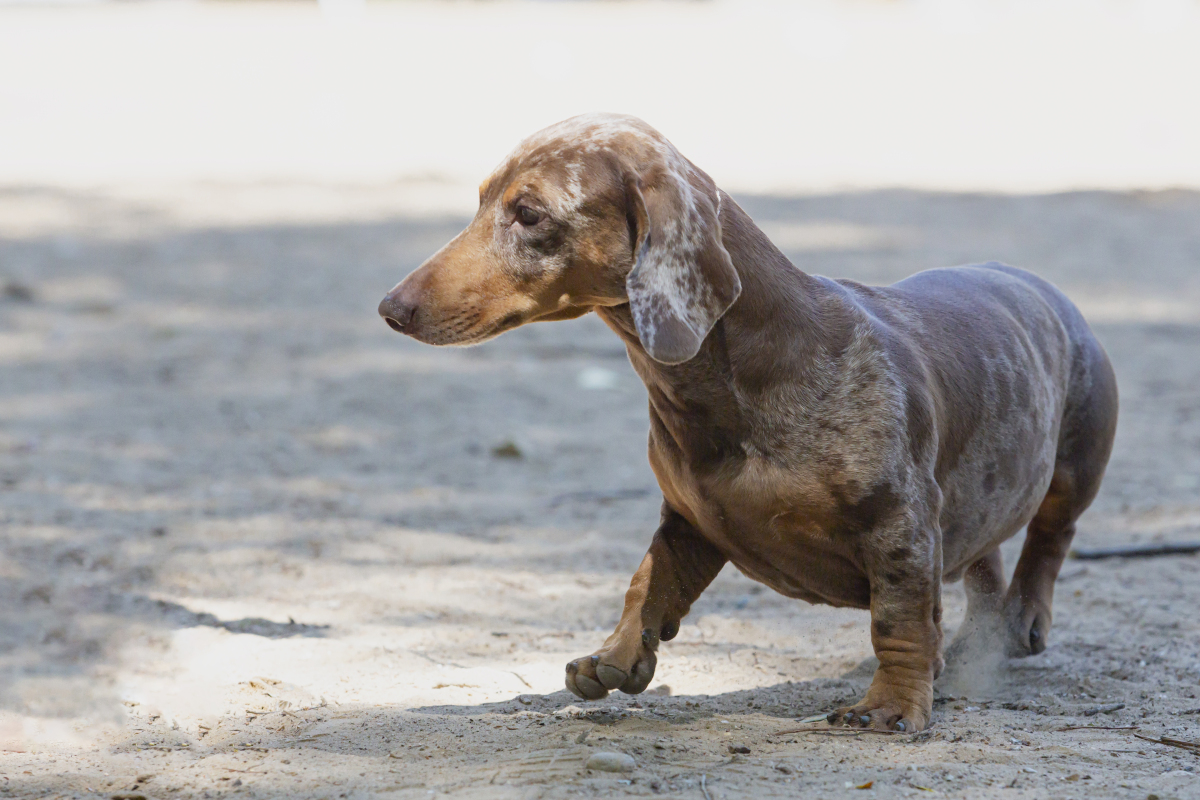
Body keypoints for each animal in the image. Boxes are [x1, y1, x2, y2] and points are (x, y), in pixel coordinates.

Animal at [374, 113, 1113, 734]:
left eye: (527, 213)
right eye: (479, 199)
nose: (390, 308)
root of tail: (1036, 283)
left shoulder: (898, 521)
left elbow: (900, 619)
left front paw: (892, 705)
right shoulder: (693, 518)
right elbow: (649, 581)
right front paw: (618, 654)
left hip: (1078, 461)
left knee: (1048, 539)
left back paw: (1021, 620)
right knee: (983, 559)